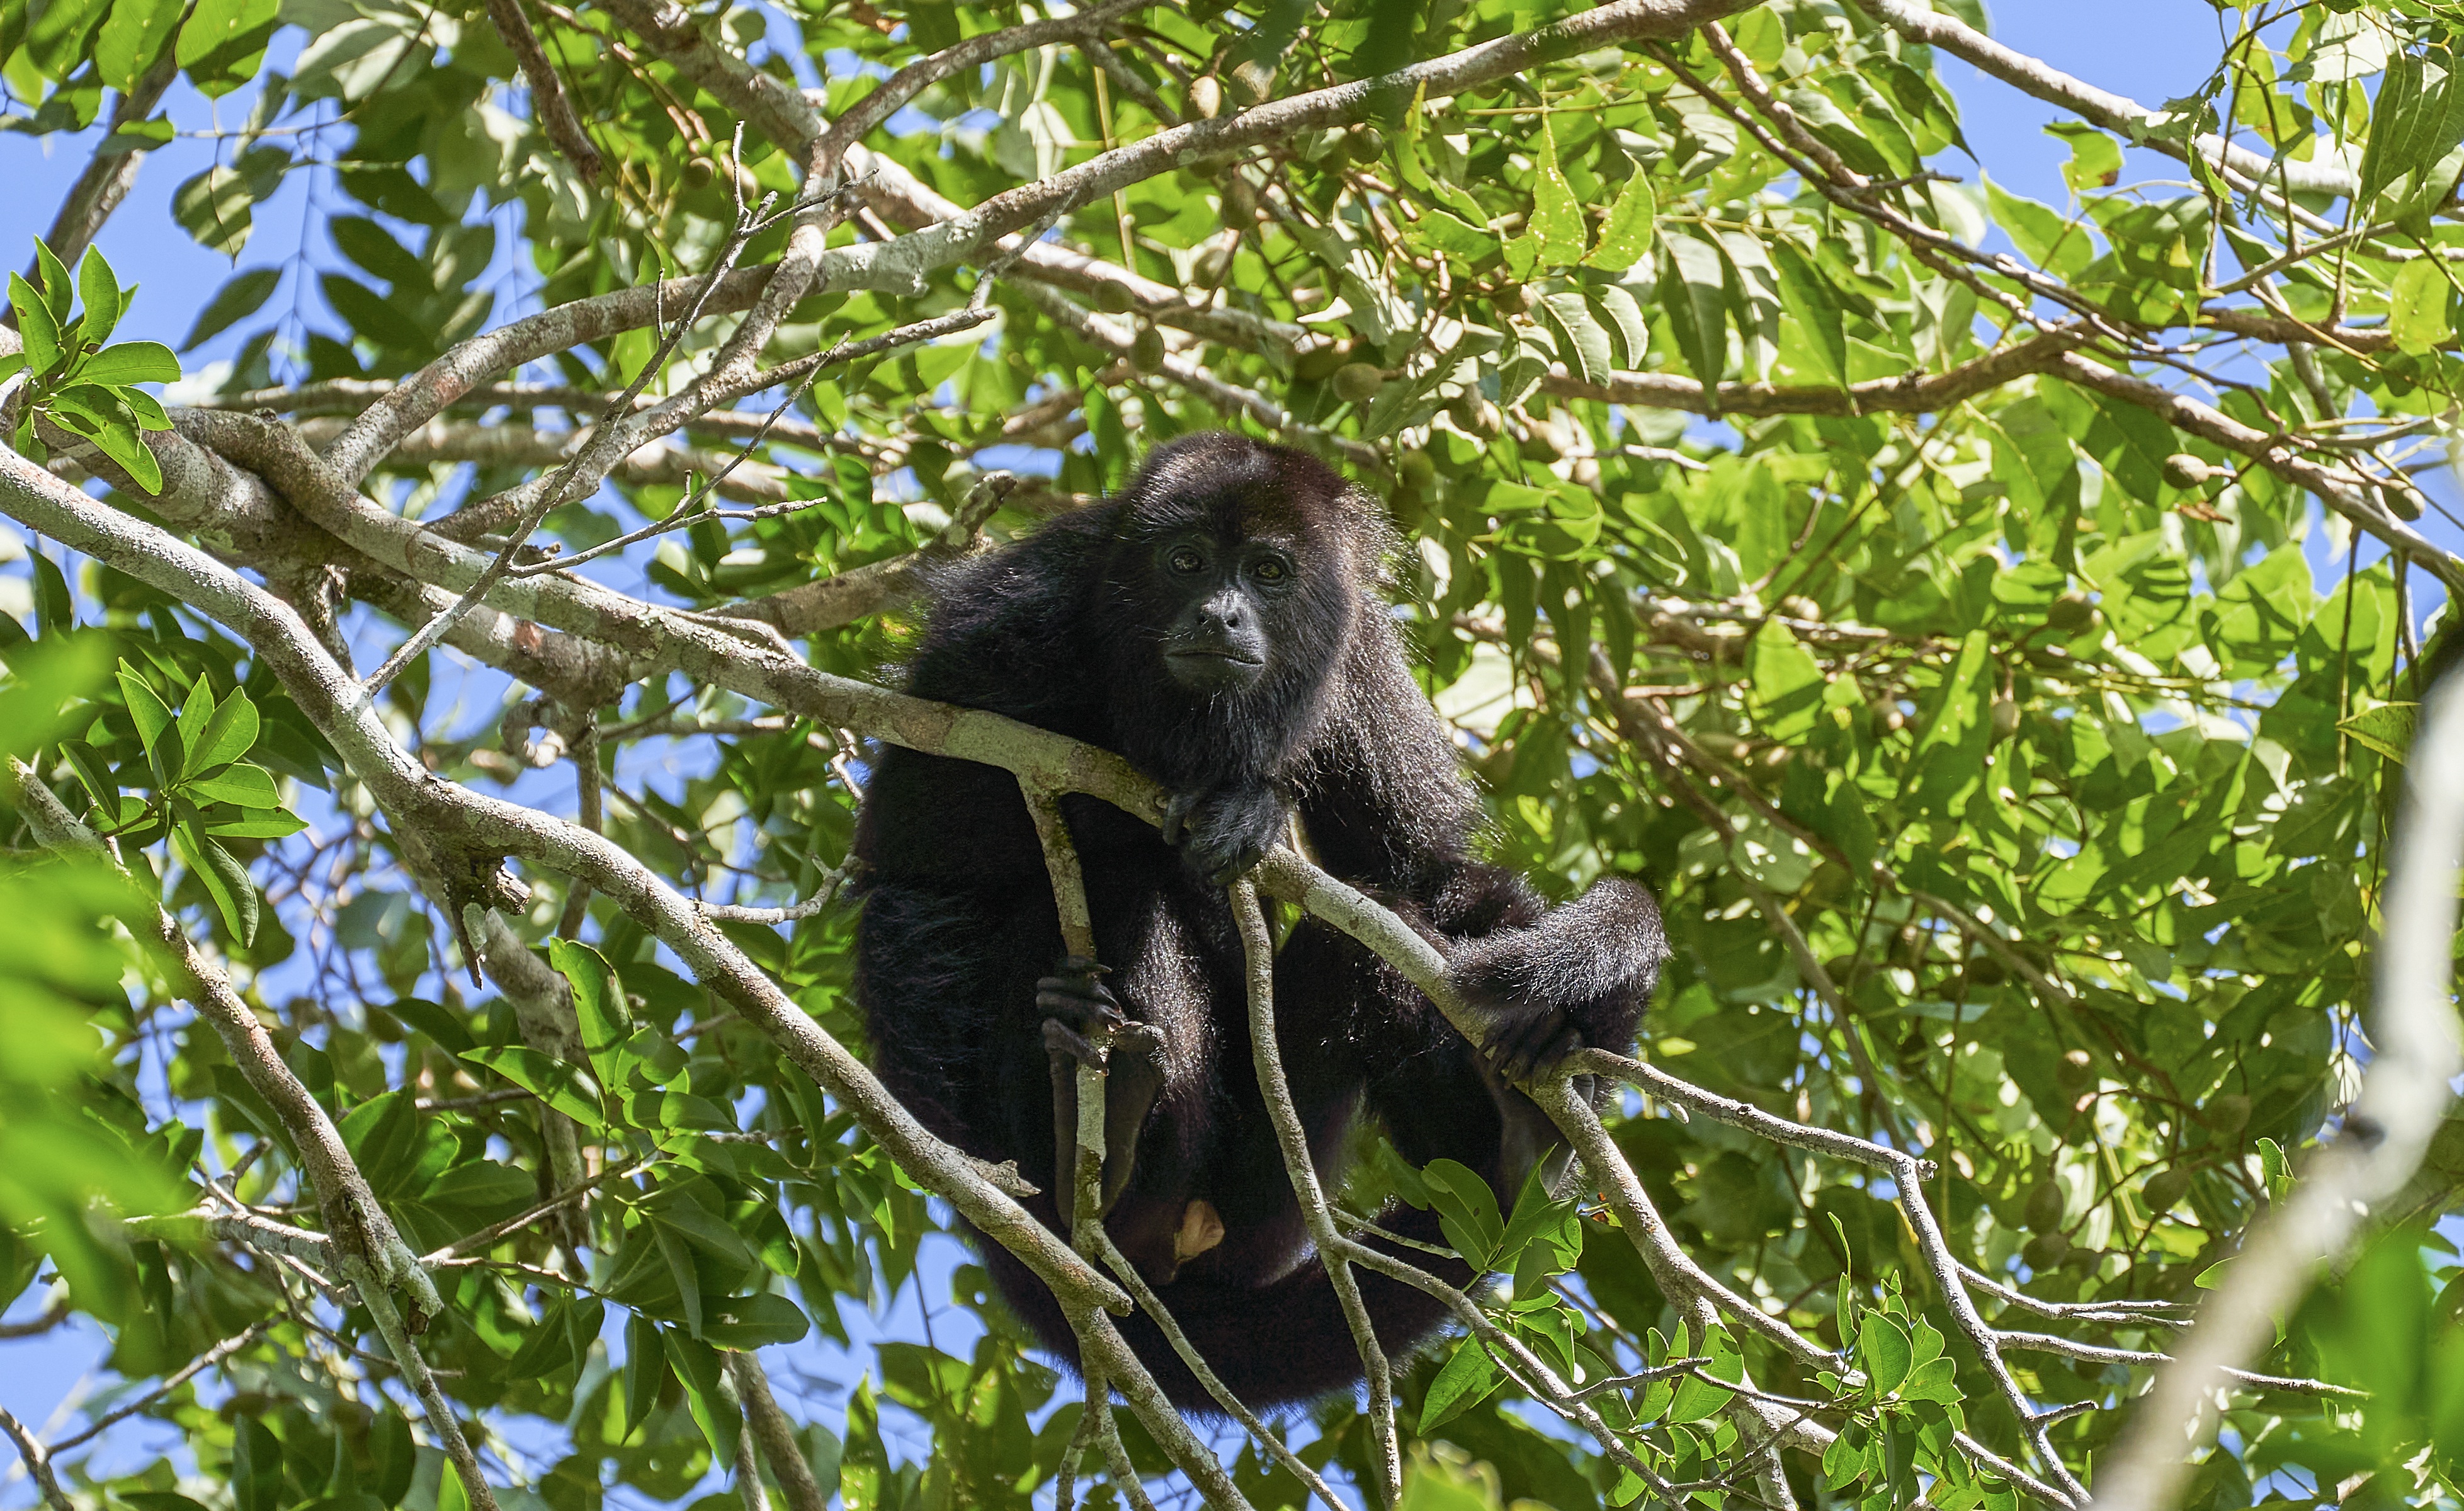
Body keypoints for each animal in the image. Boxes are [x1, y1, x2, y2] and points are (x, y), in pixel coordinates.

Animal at [852, 431, 1667, 1412]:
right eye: (1187, 561)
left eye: (1270, 572)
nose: (1221, 614)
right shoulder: (1012, 617)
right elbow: (916, 837)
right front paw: (1242, 802)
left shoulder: (1359, 657)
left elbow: (1424, 875)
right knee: (1100, 892)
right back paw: (1097, 1131)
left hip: (1266, 1203)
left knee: (1368, 941)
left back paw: (1520, 1140)